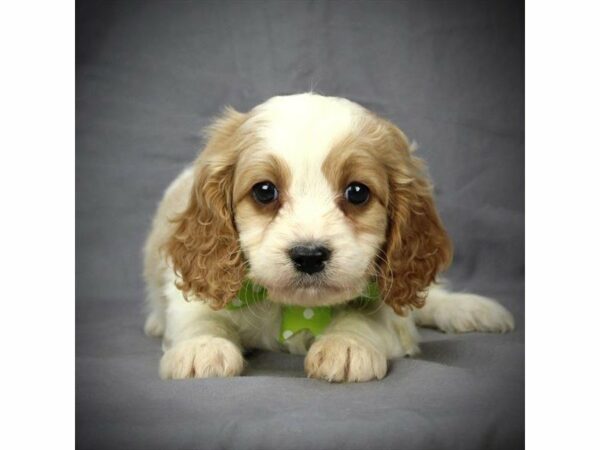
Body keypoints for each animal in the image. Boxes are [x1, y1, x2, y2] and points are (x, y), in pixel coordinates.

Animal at [143, 93, 512, 382]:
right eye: (264, 191)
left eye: (357, 193)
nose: (309, 255)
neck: (299, 307)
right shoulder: (194, 293)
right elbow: (199, 316)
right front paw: (202, 346)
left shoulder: (388, 308)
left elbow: (366, 317)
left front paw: (346, 344)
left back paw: (470, 309)